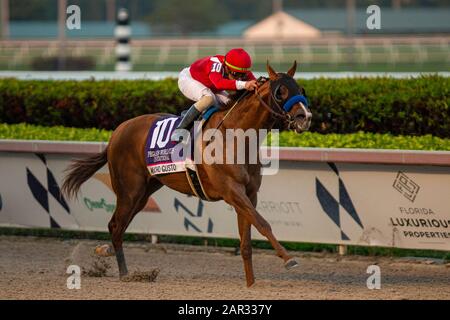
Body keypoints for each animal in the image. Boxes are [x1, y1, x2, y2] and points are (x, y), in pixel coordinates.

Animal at [61, 61, 312, 286]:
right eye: (280, 91)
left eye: (301, 89)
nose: (305, 117)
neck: (235, 136)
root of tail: (117, 132)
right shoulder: (232, 191)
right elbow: (263, 223)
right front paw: (289, 259)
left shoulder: (249, 194)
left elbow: (246, 242)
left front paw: (251, 284)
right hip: (129, 190)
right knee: (115, 225)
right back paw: (124, 273)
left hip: (144, 192)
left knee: (120, 226)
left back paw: (109, 254)